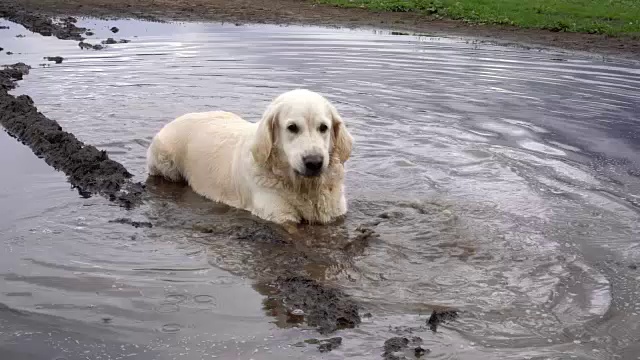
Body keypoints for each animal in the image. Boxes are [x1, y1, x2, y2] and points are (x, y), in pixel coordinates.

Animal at [146, 88, 356, 226]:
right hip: (165, 161)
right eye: (292, 127)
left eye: (323, 127)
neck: (302, 186)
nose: (314, 162)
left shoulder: (335, 211)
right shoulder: (277, 214)